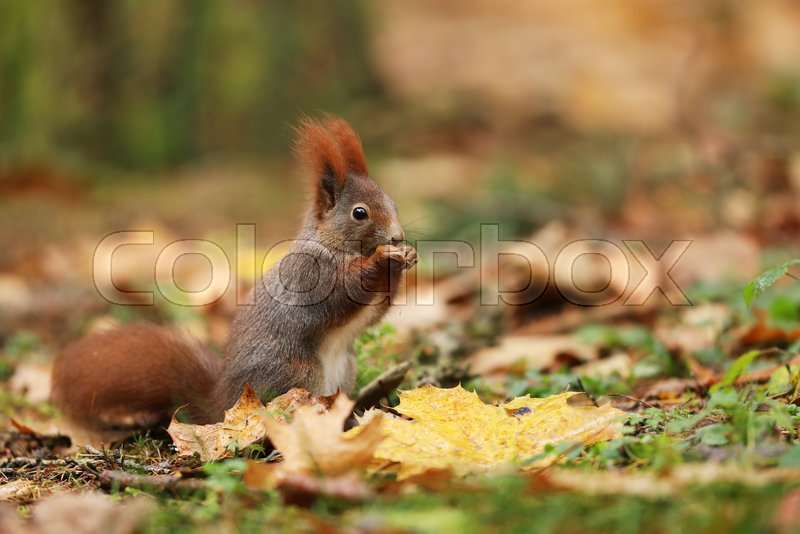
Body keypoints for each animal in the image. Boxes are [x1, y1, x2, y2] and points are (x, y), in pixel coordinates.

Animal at [50, 115, 417, 430]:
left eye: (394, 203)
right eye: (360, 213)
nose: (397, 236)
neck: (333, 244)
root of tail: (226, 403)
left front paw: (406, 258)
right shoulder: (309, 275)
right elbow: (343, 292)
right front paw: (383, 258)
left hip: (345, 369)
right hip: (297, 373)